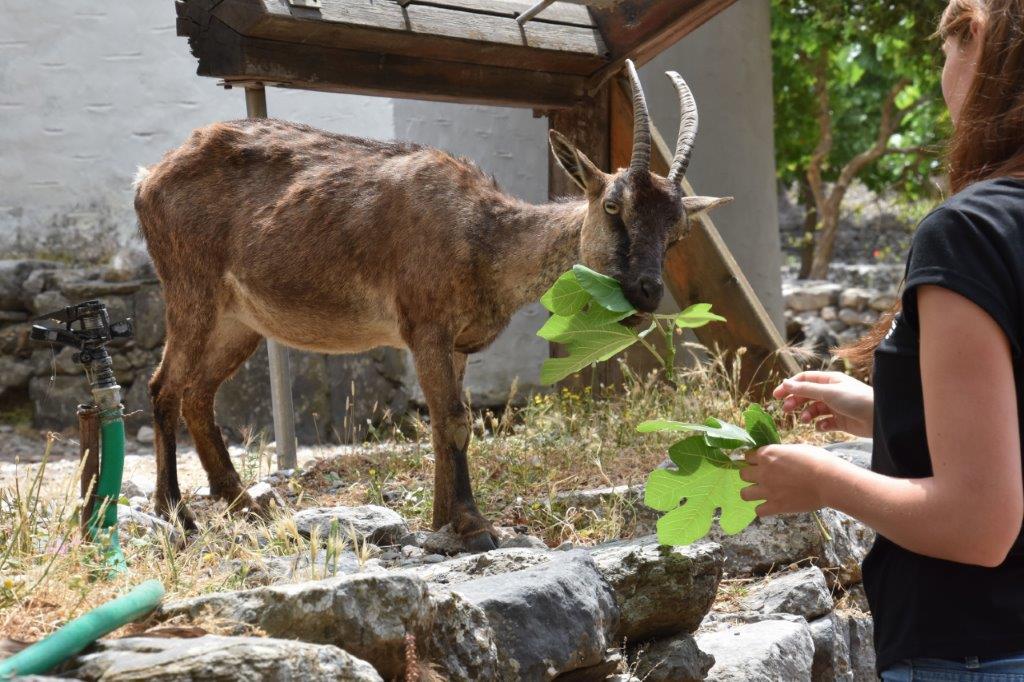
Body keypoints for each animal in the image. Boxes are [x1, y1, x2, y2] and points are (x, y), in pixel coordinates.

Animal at [134, 61, 729, 548]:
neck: (483, 240)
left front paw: (446, 519)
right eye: (612, 205)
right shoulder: (425, 326)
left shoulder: (458, 343)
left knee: (199, 394)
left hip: (240, 320)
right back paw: (176, 514)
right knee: (164, 386)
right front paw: (473, 526)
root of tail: (147, 179)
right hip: (191, 290)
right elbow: (455, 419)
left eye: (677, 230)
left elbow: (447, 425)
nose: (645, 292)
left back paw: (245, 505)